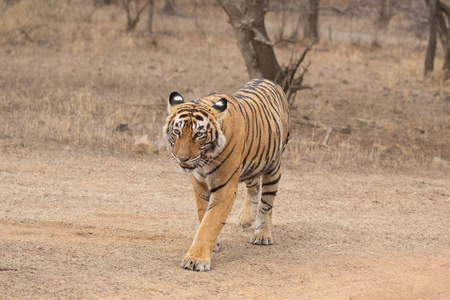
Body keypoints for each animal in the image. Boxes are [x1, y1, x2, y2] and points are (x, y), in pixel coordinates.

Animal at [163, 78, 290, 270]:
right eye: (177, 132)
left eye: (199, 134)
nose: (182, 158)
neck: (204, 160)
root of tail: (267, 80)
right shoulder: (200, 183)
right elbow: (203, 214)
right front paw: (214, 243)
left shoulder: (225, 188)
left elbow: (210, 222)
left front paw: (196, 259)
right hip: (251, 164)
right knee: (254, 184)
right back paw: (246, 218)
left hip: (273, 168)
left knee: (267, 204)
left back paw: (262, 234)